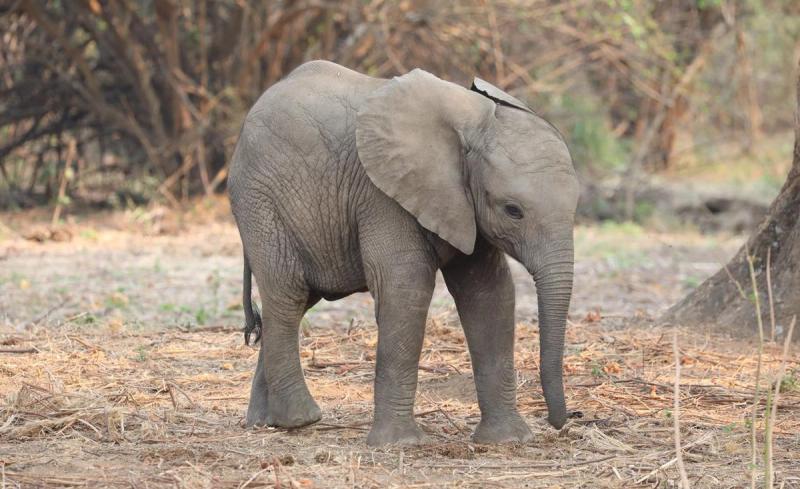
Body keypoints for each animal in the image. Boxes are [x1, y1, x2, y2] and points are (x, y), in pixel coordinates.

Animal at [228, 60, 579, 446]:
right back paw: (301, 420)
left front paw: (508, 440)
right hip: (260, 200)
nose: (561, 421)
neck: (473, 121)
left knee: (295, 302)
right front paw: (401, 444)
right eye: (513, 210)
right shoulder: (381, 194)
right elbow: (406, 287)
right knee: (288, 295)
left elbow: (490, 295)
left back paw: (266, 423)